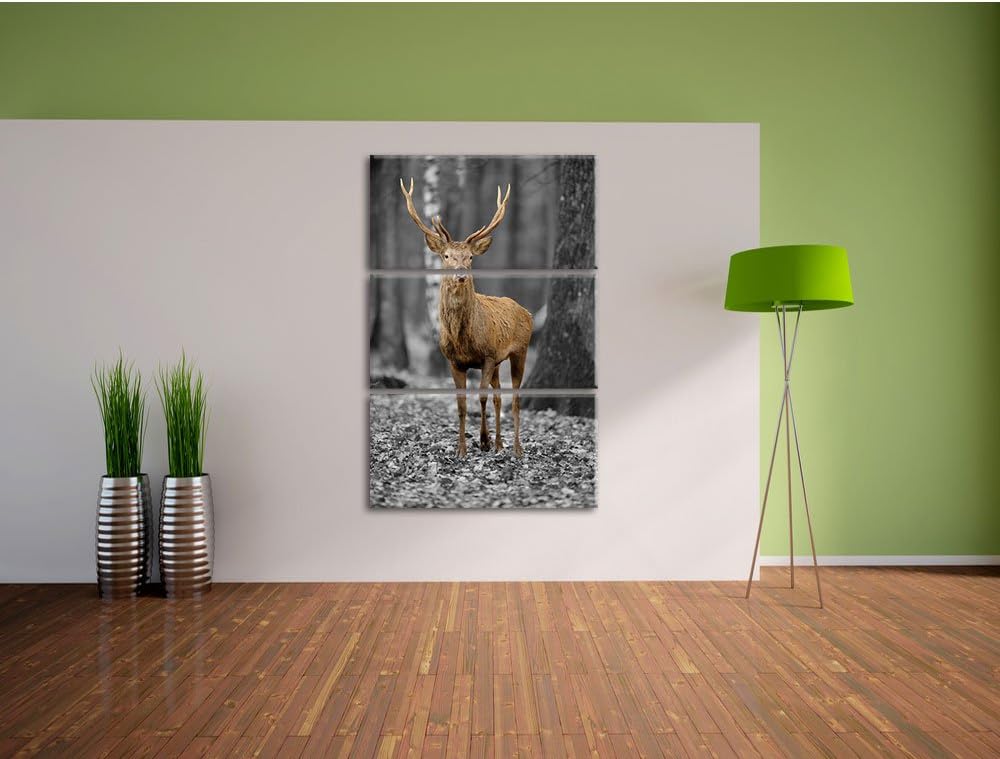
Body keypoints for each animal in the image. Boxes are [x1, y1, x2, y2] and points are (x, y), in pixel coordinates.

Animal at [400, 178, 532, 458]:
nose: (460, 275)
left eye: (470, 257)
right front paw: (462, 448)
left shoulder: (488, 355)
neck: (463, 338)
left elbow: (480, 398)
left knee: (515, 398)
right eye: (446, 255)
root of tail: (526, 311)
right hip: (499, 362)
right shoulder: (454, 361)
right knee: (499, 396)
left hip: (520, 351)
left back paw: (516, 447)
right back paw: (500, 443)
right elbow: (461, 405)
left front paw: (482, 441)